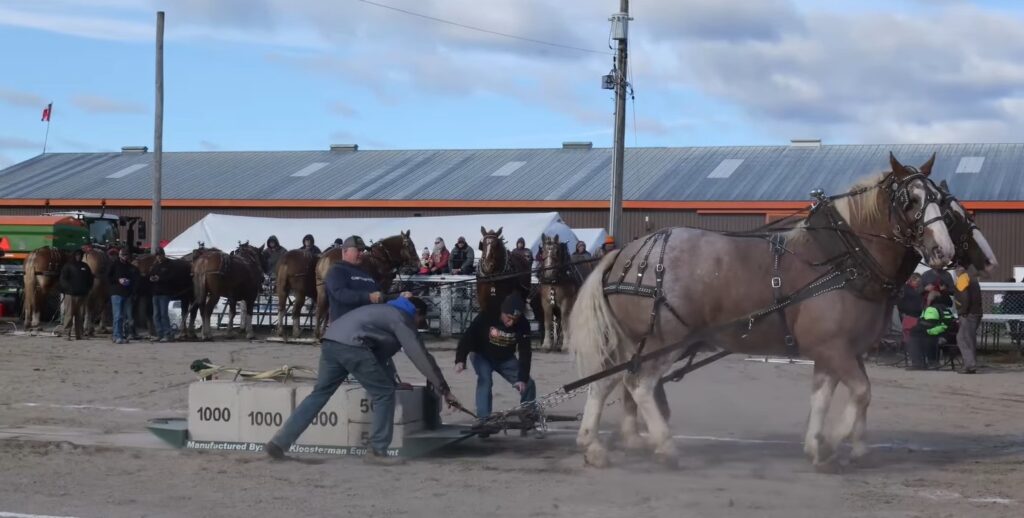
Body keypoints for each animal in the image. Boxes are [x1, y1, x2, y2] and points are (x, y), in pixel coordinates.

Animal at [569, 153, 958, 468]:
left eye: (940, 200)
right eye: (910, 200)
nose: (944, 251)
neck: (843, 260)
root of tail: (625, 253)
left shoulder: (836, 350)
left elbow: (824, 397)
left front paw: (830, 445)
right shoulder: (834, 347)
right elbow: (861, 393)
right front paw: (831, 444)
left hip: (630, 342)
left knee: (604, 382)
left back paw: (594, 445)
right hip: (665, 341)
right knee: (640, 384)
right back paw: (665, 446)